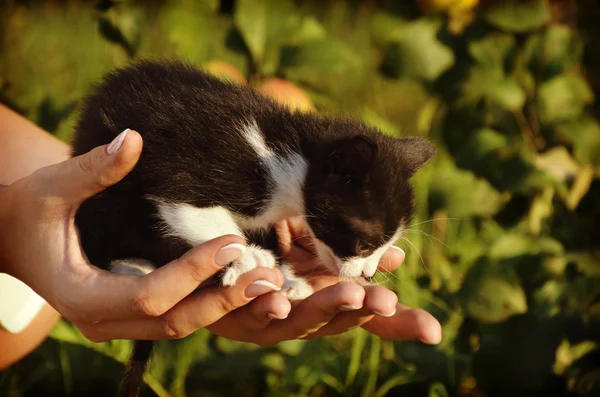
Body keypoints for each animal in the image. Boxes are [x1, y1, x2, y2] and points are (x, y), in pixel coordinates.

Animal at [72, 59, 434, 396]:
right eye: (363, 244)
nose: (368, 275)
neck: (284, 156)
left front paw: (287, 279)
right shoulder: (182, 174)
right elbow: (192, 212)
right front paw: (247, 258)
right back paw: (132, 264)